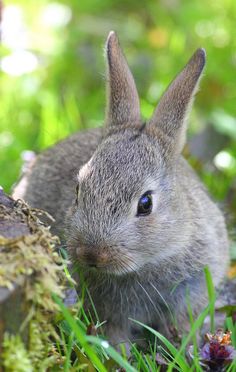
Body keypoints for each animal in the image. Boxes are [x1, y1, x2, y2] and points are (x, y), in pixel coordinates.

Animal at [13, 31, 229, 346]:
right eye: (78, 190)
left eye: (146, 204)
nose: (92, 254)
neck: (147, 263)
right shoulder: (108, 309)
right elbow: (115, 333)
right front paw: (123, 351)